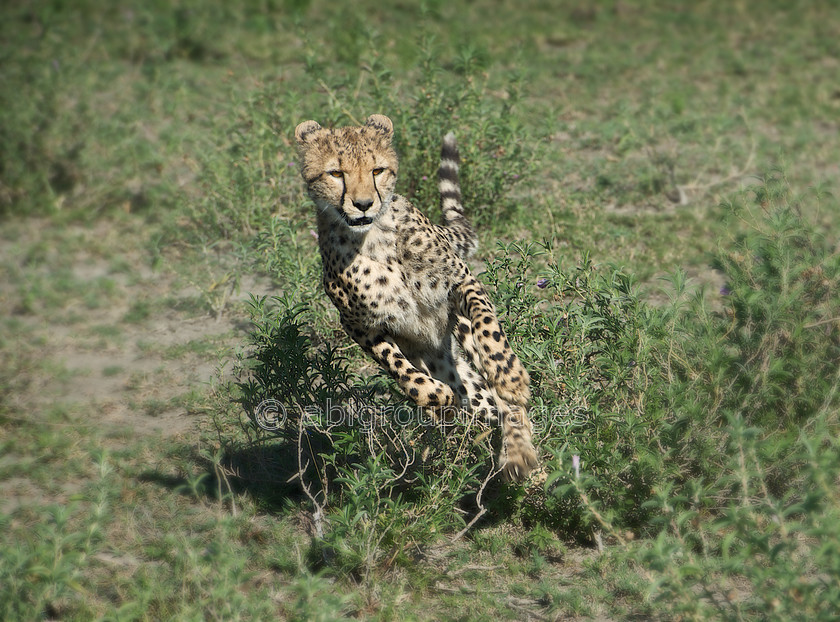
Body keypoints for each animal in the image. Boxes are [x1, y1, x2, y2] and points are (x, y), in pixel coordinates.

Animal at [292, 113, 540, 482]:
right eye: (336, 173)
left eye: (377, 170)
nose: (363, 204)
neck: (374, 238)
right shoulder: (359, 327)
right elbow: (402, 372)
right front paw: (435, 396)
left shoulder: (460, 280)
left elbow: (489, 327)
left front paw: (511, 376)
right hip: (448, 367)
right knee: (479, 399)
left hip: (459, 333)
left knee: (503, 398)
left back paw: (521, 454)